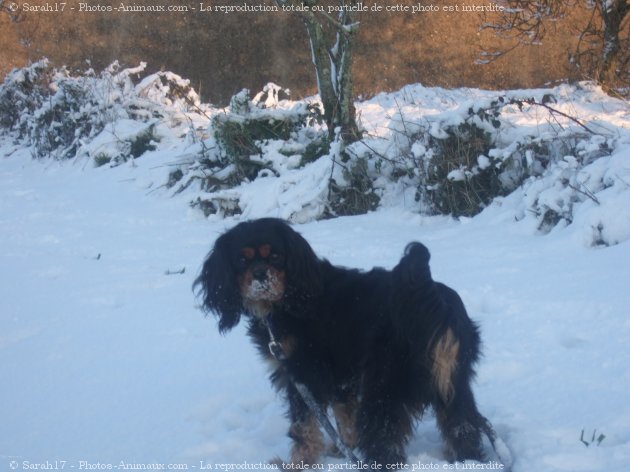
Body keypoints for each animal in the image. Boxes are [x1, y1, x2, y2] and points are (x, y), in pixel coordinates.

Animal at [196, 218, 498, 468]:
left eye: (276, 256)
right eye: (241, 260)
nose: (260, 274)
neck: (291, 297)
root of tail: (435, 301)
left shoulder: (304, 374)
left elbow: (304, 428)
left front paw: (297, 464)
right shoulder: (342, 379)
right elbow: (345, 420)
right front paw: (342, 449)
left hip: (384, 386)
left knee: (384, 443)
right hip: (453, 384)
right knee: (464, 428)